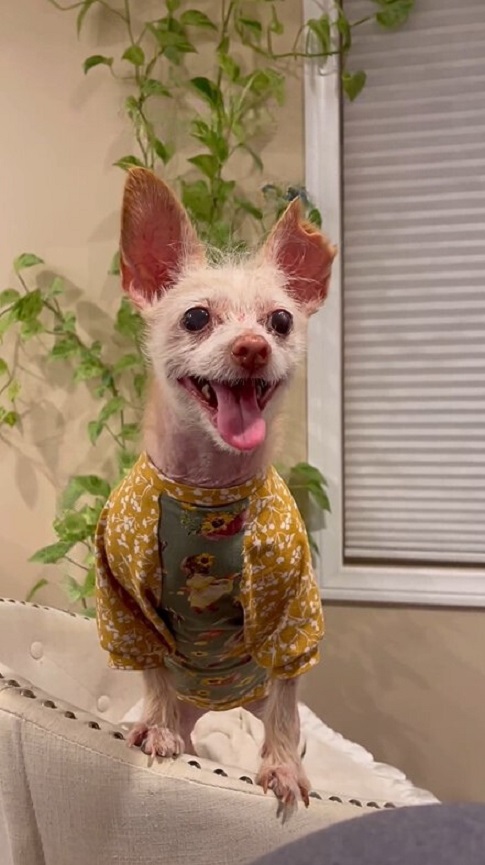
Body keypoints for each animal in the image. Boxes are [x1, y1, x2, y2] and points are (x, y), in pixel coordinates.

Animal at [95, 169, 336, 808]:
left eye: (281, 321)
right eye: (196, 318)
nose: (253, 347)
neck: (206, 492)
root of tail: (219, 702)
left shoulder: (291, 616)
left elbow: (287, 703)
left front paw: (280, 768)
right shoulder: (124, 605)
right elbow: (152, 669)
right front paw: (155, 731)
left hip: (261, 688)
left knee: (278, 707)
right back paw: (164, 729)